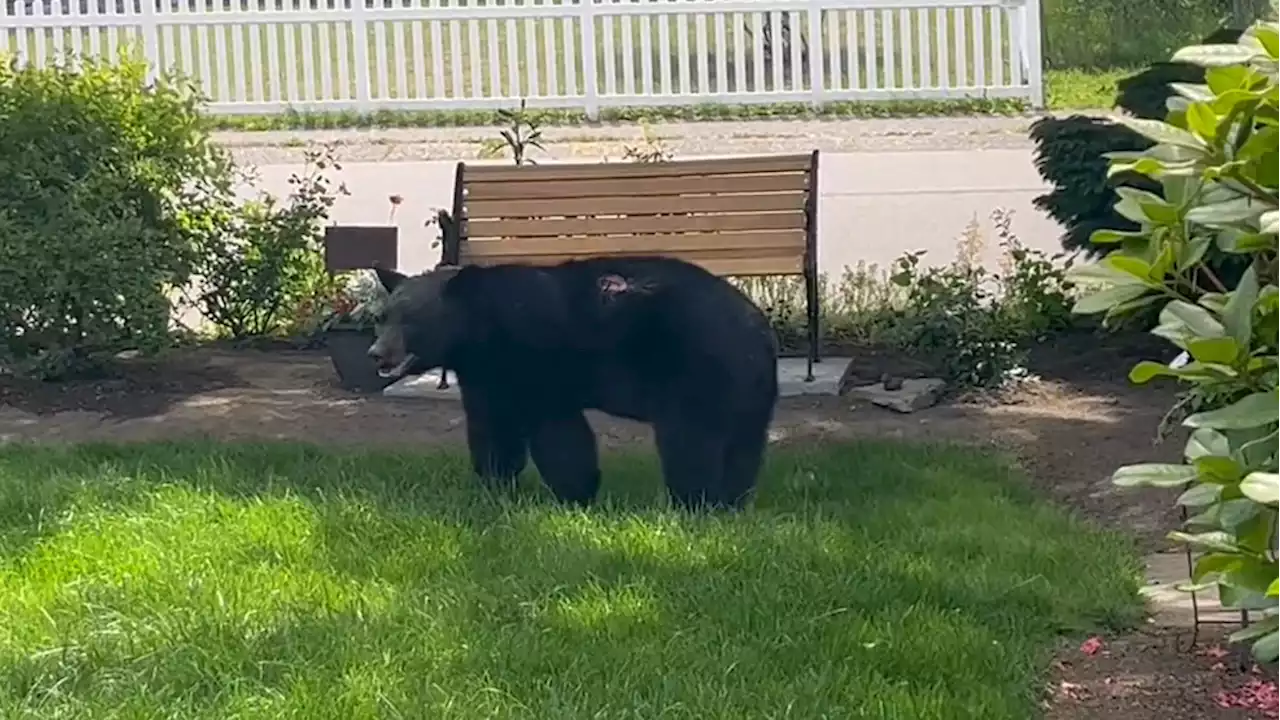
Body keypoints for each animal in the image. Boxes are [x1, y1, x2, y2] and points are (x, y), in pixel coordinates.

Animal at [368, 254, 778, 507]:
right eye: (382, 317)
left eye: (411, 320)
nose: (376, 353)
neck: (478, 327)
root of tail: (758, 329)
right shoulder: (486, 373)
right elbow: (493, 425)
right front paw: (495, 485)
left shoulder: (530, 356)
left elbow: (552, 432)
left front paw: (573, 492)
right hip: (746, 392)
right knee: (743, 448)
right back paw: (732, 502)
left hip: (698, 371)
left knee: (691, 442)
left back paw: (694, 503)